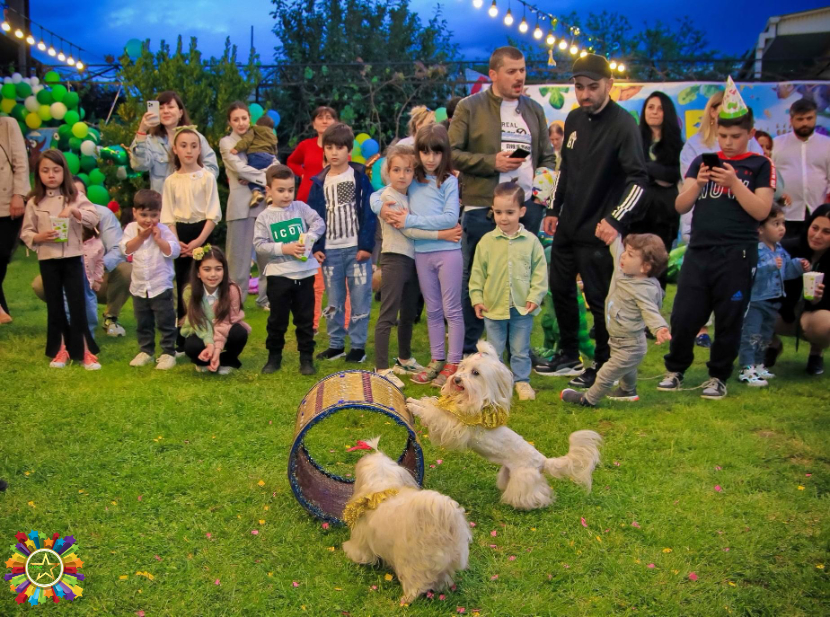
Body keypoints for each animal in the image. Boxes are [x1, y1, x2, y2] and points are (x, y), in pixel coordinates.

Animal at [342, 436, 474, 604]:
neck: (382, 489)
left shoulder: (362, 539)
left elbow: (360, 553)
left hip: (411, 564)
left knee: (415, 585)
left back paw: (405, 600)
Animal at [410, 342, 604, 510]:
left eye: (475, 372)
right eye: (462, 368)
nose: (456, 379)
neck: (473, 402)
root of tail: (543, 461)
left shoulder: (455, 428)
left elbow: (434, 414)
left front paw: (415, 407)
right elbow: (431, 405)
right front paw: (414, 401)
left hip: (522, 479)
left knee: (536, 494)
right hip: (507, 473)